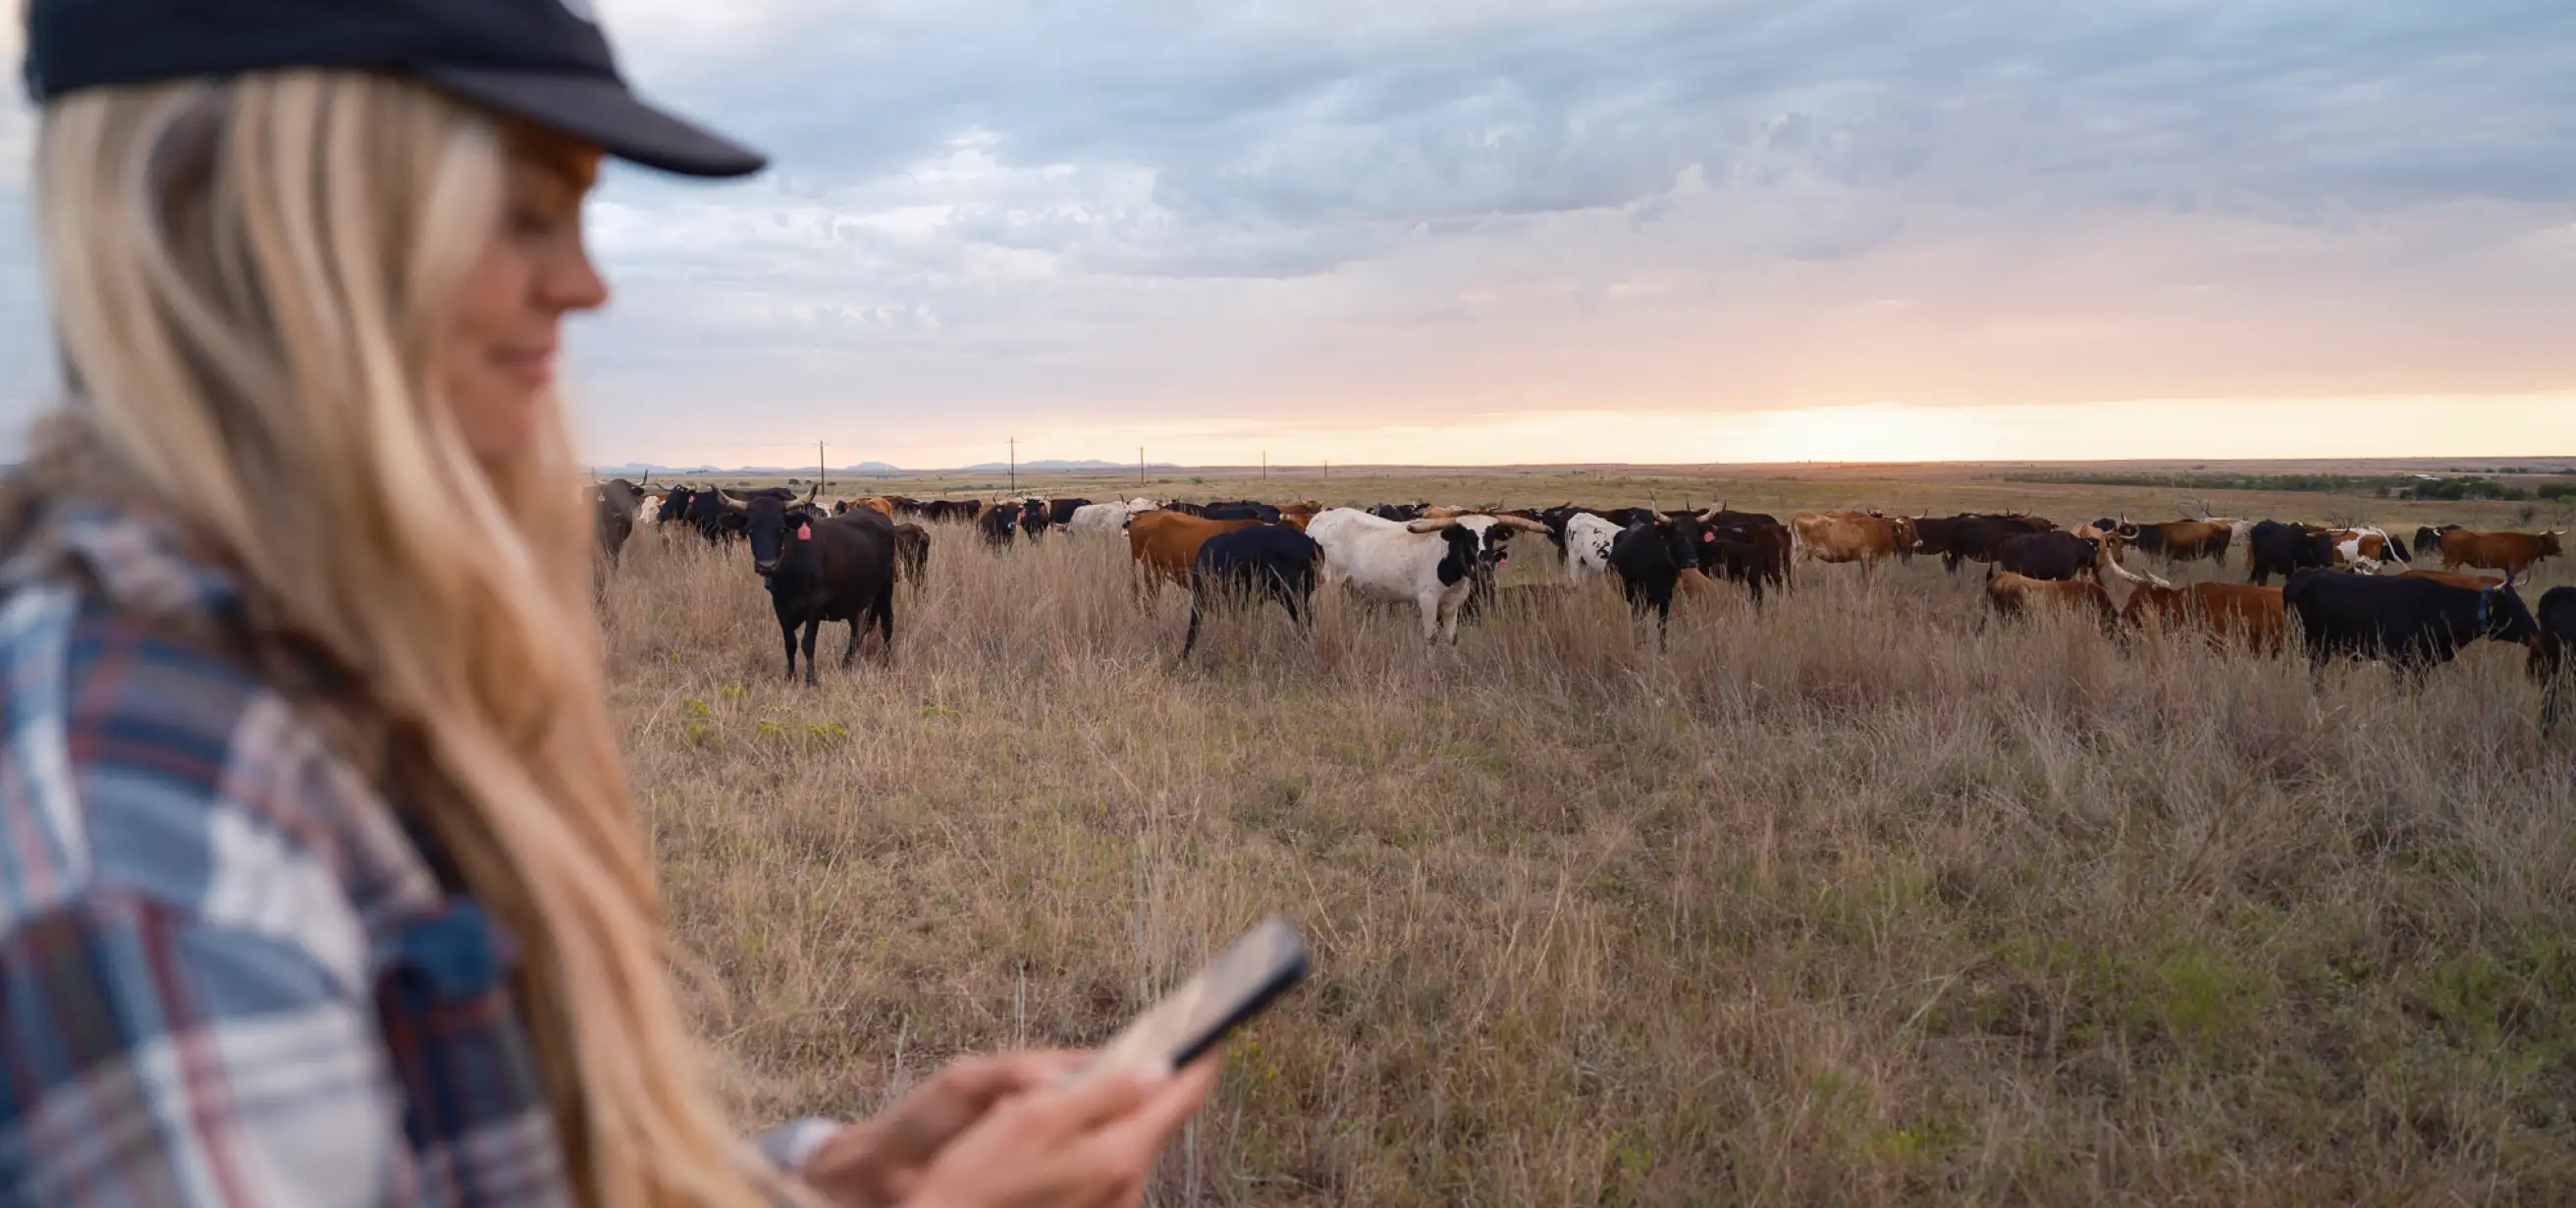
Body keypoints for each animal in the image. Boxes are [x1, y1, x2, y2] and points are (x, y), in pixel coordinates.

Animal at [1305, 508, 1544, 643]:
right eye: (1466, 535)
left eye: (1492, 535)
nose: (1484, 565)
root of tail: (1319, 518)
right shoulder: (1427, 600)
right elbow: (1431, 637)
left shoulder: (1453, 603)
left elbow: (1451, 637)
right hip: (1329, 583)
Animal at [2283, 568, 2537, 673]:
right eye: (2513, 606)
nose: (2535, 632)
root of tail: (2304, 574)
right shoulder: (2401, 661)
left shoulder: (2422, 665)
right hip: (2313, 647)